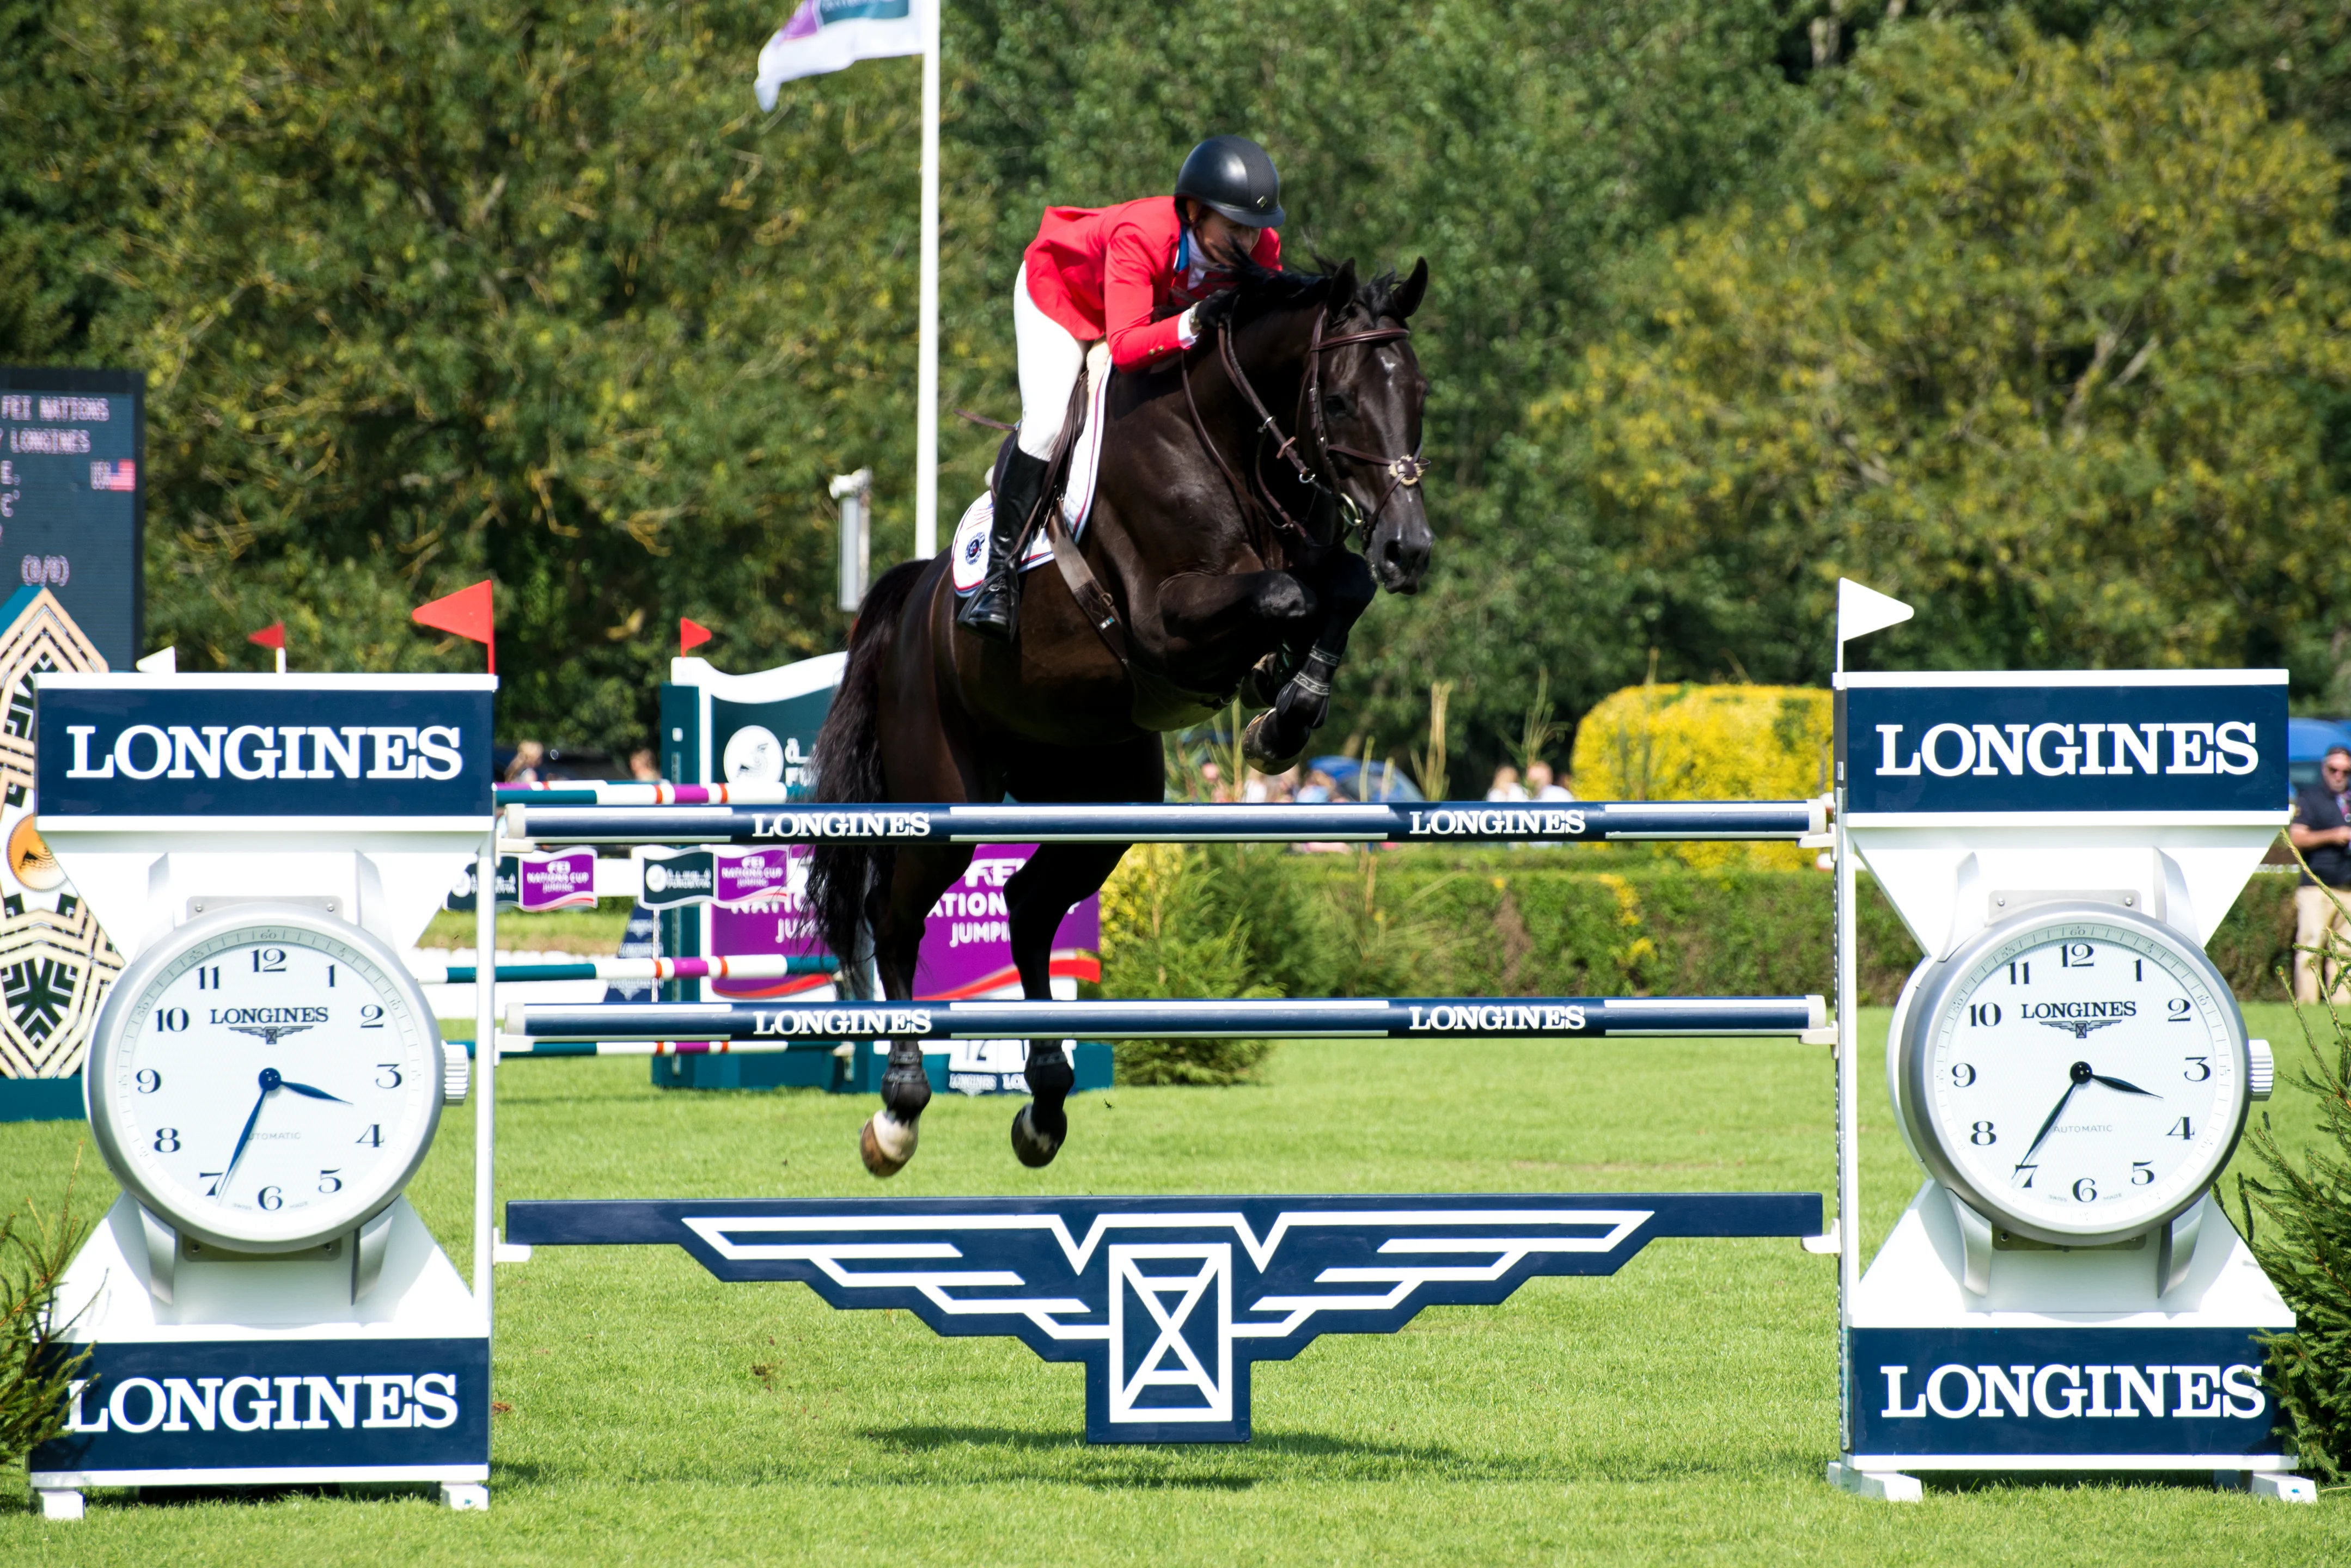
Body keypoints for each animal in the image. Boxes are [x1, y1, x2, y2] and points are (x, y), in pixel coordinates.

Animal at [809, 257, 1429, 1171]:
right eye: (1343, 400)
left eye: (1418, 393)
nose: (1409, 550)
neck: (1235, 445)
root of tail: (917, 594)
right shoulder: (1165, 620)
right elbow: (1285, 594)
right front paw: (1275, 703)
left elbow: (1336, 587)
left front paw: (1287, 709)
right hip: (945, 798)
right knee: (896, 919)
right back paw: (899, 1108)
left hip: (1105, 790)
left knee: (1030, 905)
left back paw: (1044, 1102)